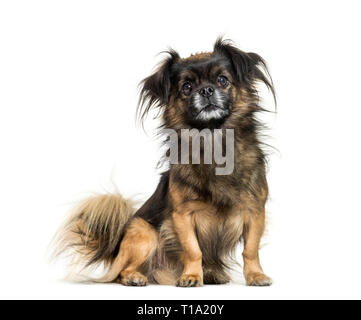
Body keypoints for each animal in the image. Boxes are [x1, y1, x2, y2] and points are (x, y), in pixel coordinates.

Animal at [52, 38, 272, 288]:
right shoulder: (183, 216)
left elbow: (250, 250)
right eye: (187, 87)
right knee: (121, 272)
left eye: (222, 80)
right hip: (143, 232)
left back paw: (212, 274)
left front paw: (256, 275)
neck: (212, 142)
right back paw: (135, 277)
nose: (206, 90)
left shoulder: (255, 211)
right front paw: (191, 276)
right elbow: (193, 250)